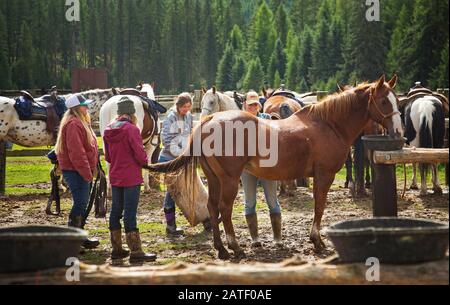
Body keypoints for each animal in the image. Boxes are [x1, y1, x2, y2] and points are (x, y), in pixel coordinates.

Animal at [146, 75, 402, 258]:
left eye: (396, 100)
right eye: (383, 101)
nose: (398, 131)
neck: (328, 124)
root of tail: (209, 121)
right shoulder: (324, 175)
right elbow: (319, 207)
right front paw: (317, 241)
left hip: (216, 179)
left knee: (212, 207)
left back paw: (221, 249)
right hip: (229, 180)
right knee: (225, 209)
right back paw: (235, 248)